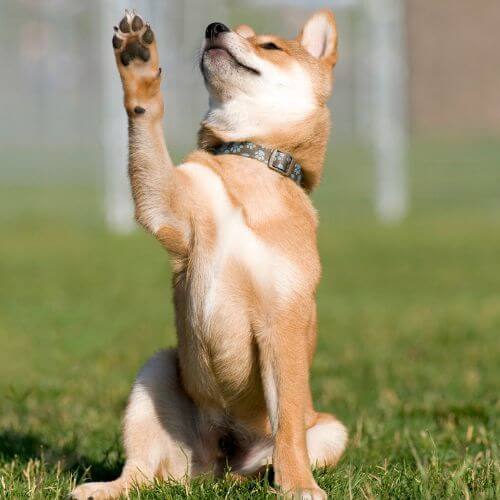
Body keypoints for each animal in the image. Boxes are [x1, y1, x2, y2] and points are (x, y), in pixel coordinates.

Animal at [71, 8, 346, 500]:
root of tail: (220, 456)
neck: (249, 161)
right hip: (157, 371)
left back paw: (264, 475)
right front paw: (139, 65)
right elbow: (149, 129)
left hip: (332, 430)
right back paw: (103, 488)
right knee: (140, 473)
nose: (215, 27)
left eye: (270, 46)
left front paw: (299, 486)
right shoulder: (170, 210)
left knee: (275, 449)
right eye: (236, 31)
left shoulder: (283, 321)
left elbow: (289, 425)